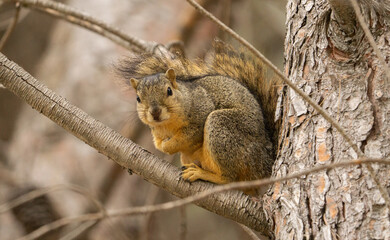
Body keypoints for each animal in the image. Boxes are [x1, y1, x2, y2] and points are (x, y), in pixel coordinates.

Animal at [118, 40, 280, 184]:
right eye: (138, 98)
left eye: (169, 91)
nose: (155, 112)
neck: (167, 125)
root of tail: (266, 161)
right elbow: (158, 143)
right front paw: (161, 145)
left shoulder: (202, 111)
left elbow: (187, 137)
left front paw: (167, 146)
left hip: (221, 126)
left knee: (228, 178)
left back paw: (201, 173)